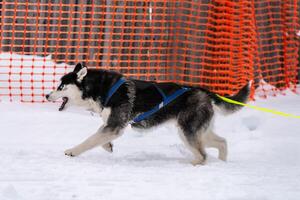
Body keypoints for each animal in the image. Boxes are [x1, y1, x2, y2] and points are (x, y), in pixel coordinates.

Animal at [45, 63, 251, 165]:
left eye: (61, 87)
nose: (47, 95)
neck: (101, 89)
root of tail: (203, 91)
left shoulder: (114, 125)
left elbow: (89, 140)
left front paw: (73, 151)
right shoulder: (112, 125)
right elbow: (99, 137)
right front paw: (108, 146)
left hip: (187, 132)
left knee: (202, 155)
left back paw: (193, 164)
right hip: (198, 131)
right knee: (222, 142)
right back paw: (222, 163)